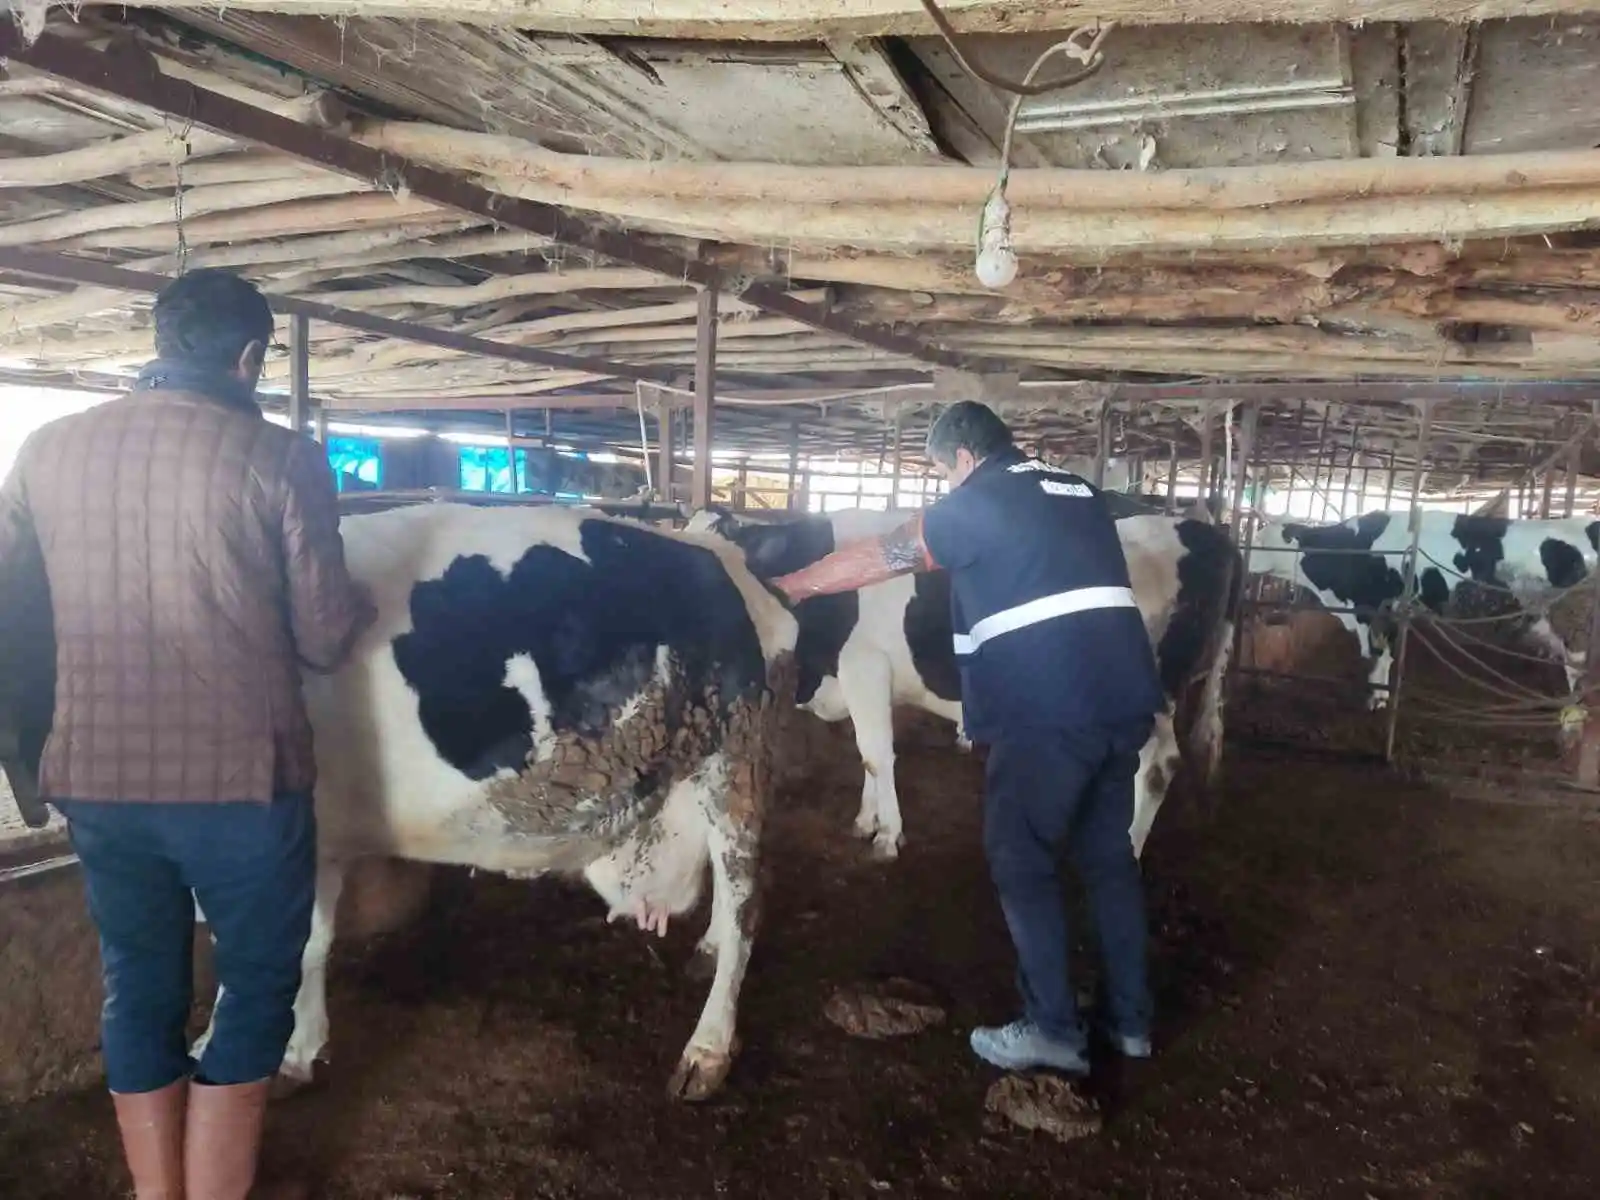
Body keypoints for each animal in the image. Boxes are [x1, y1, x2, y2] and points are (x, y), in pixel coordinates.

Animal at [684, 508, 1235, 864]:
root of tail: (1200, 530)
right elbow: (869, 755)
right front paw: (867, 819)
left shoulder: (865, 667)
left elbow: (876, 755)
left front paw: (888, 836)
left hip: (1146, 696)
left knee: (1158, 766)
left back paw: (1131, 846)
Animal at [1254, 512, 1593, 710]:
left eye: (1261, 539)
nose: (1245, 553)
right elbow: (1386, 657)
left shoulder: (1374, 607)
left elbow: (1378, 655)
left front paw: (1377, 698)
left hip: (1574, 627)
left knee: (1577, 668)